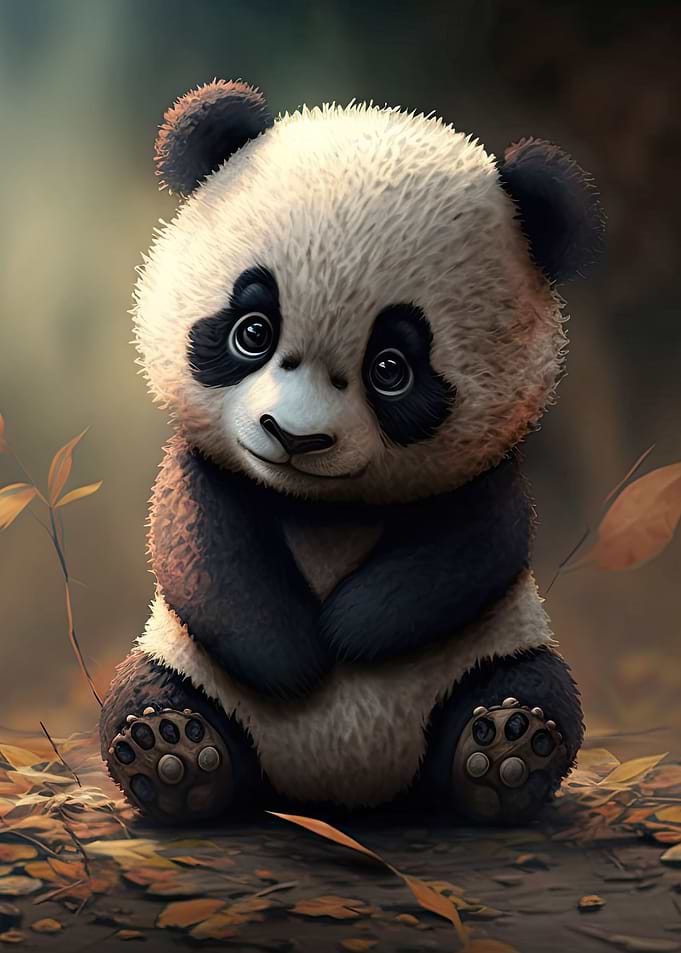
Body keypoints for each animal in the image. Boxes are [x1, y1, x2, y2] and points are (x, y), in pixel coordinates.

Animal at [100, 79, 604, 825]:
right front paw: (294, 657)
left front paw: (348, 631)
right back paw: (174, 751)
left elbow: (473, 549)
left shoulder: (485, 475)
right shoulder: (207, 466)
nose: (292, 436)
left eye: (391, 368)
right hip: (184, 658)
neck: (322, 505)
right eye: (252, 330)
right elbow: (193, 544)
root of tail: (330, 791)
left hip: (493, 645)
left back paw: (505, 750)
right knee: (146, 689)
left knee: (533, 684)